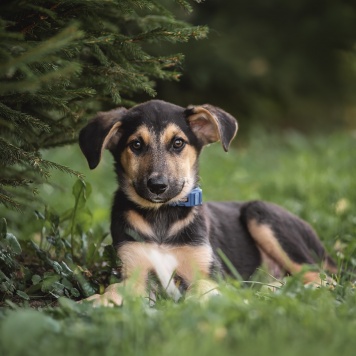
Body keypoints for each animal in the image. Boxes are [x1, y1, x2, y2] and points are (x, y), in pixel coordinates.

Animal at [79, 98, 338, 304]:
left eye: (178, 143)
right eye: (136, 145)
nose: (157, 186)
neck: (161, 215)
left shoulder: (209, 274)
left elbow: (198, 293)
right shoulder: (135, 272)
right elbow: (114, 291)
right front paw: (94, 302)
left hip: (261, 213)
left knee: (324, 279)